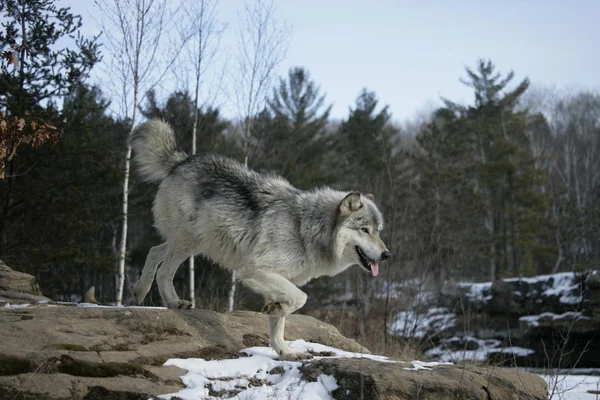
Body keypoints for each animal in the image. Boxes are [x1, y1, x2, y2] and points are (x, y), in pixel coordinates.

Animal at [131, 118, 392, 360]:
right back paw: (173, 303)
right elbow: (300, 298)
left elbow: (280, 325)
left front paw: (286, 351)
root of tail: (181, 161)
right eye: (365, 230)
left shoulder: (278, 279)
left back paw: (139, 292)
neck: (304, 227)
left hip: (193, 243)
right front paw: (278, 312)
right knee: (164, 270)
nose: (387, 255)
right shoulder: (254, 269)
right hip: (189, 242)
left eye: (379, 230)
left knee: (154, 251)